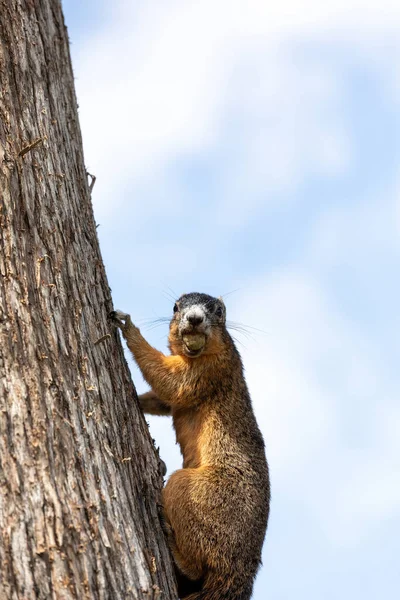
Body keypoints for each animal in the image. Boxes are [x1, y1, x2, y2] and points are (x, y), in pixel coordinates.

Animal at [111, 294, 270, 600]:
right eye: (175, 307)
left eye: (218, 311)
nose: (194, 318)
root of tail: (238, 571)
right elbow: (164, 399)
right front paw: (140, 400)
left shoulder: (211, 371)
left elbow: (172, 383)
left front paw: (129, 328)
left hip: (194, 492)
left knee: (198, 568)